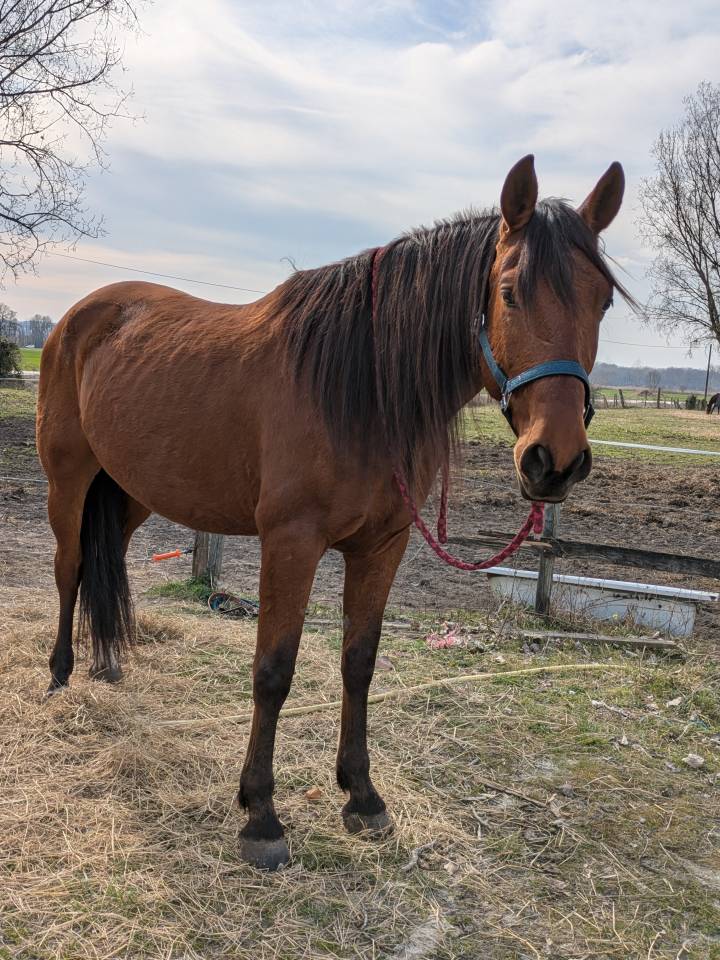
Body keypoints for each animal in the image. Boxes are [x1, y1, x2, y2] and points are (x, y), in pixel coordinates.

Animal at [37, 155, 630, 870]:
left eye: (601, 301)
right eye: (510, 291)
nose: (555, 460)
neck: (362, 386)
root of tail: (77, 318)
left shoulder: (383, 546)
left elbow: (359, 662)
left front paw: (362, 796)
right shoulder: (290, 543)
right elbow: (273, 670)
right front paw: (261, 815)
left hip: (131, 492)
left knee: (109, 562)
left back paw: (107, 662)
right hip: (69, 481)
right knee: (70, 569)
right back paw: (62, 676)